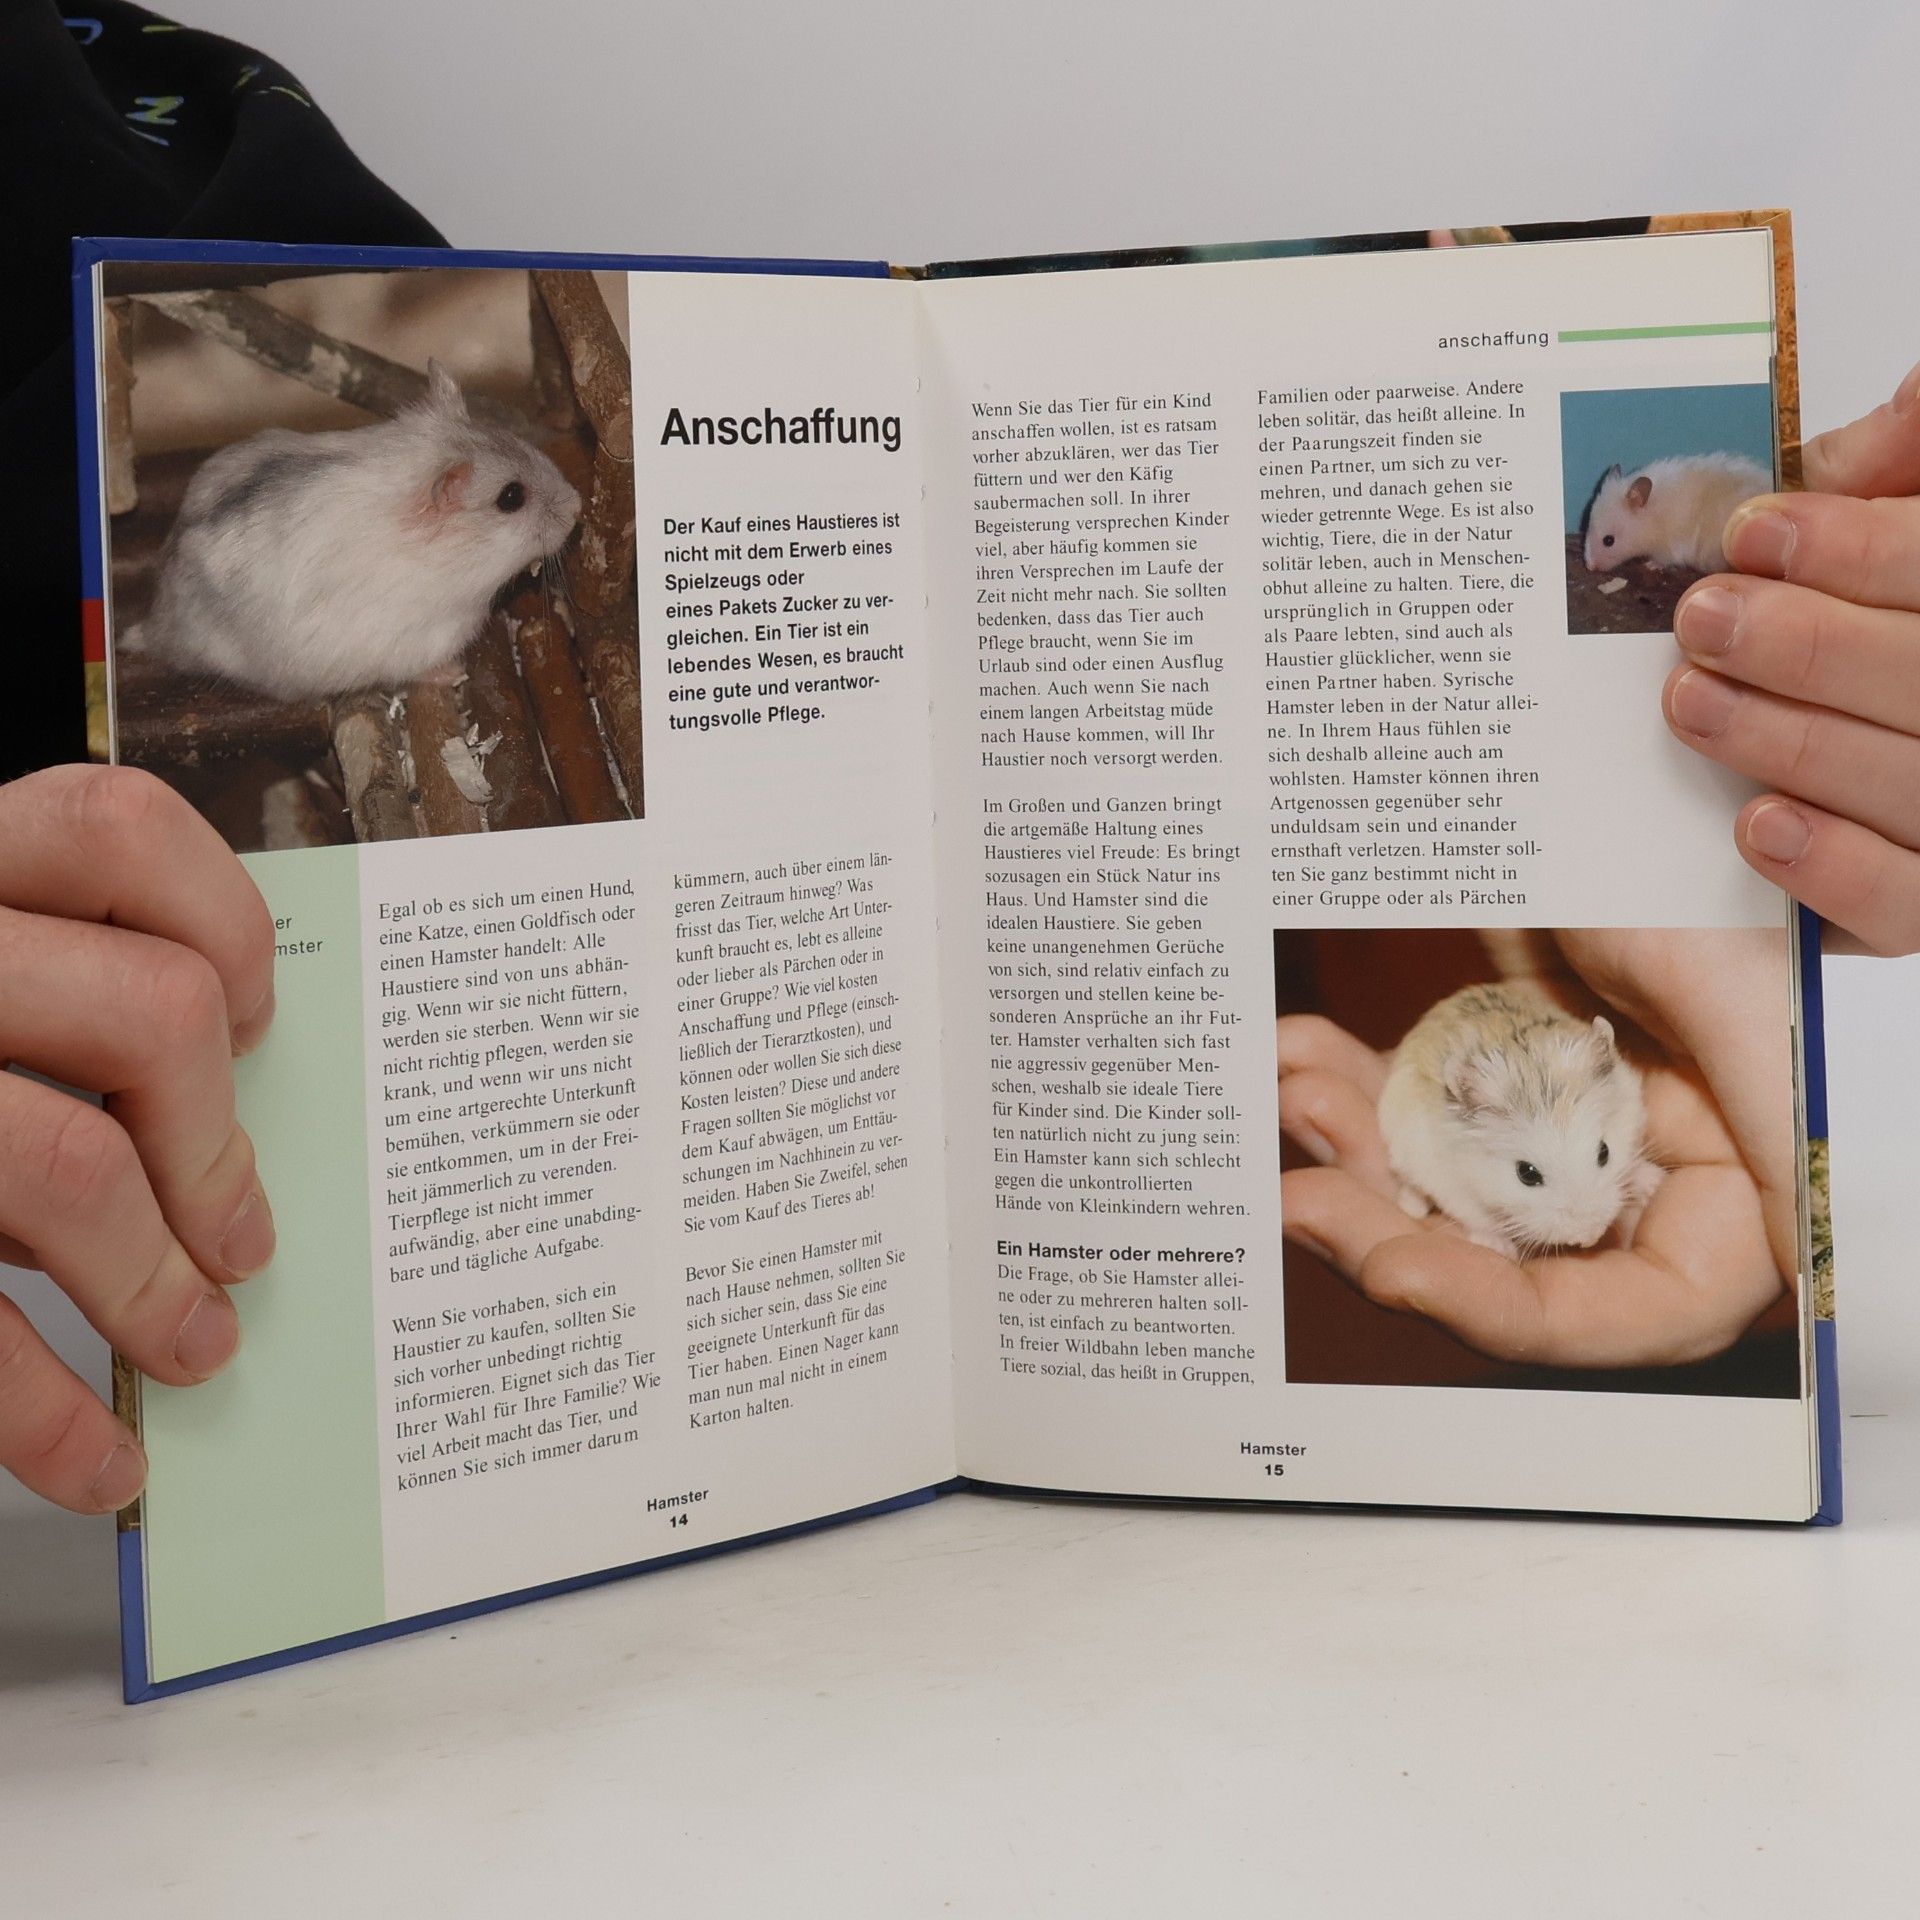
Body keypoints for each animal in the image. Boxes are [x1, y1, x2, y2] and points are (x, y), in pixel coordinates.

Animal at [1377, 984, 1664, 1262]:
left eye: (1604, 1152)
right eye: (1527, 1174)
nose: (1589, 1237)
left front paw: (1654, 1181)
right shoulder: (1453, 1186)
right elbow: (1479, 1219)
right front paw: (1504, 1249)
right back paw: (1413, 1208)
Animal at [1580, 453, 1770, 575]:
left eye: (1609, 541)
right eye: (1586, 527)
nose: (1590, 567)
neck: (1655, 517)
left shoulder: (1670, 547)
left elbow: (1664, 559)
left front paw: (1650, 565)